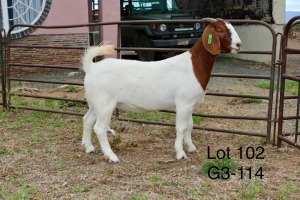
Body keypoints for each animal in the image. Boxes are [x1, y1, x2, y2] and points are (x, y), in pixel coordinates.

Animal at [81, 18, 241, 162]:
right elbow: (181, 127)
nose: (239, 44)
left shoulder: (190, 103)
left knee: (87, 120)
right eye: (220, 29)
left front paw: (191, 147)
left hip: (95, 103)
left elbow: (190, 125)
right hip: (105, 104)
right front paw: (180, 153)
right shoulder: (183, 103)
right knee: (100, 128)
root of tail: (91, 67)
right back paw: (111, 156)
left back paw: (89, 148)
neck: (194, 65)